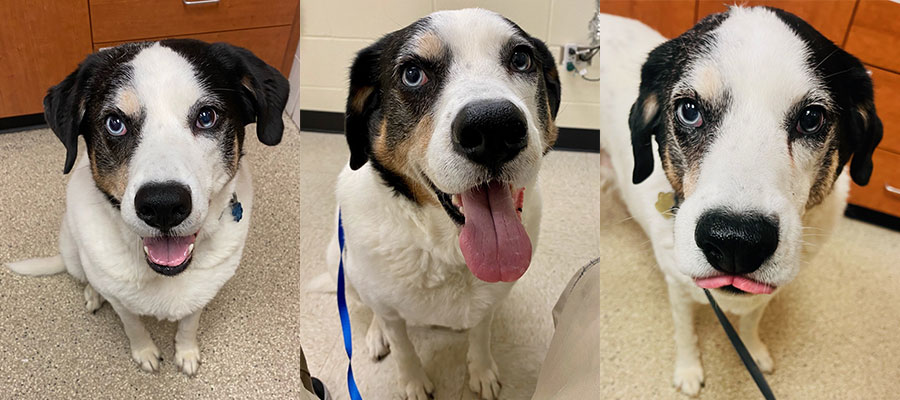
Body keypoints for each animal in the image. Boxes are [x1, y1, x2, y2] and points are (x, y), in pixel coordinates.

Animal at [6, 39, 288, 376]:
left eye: (207, 116)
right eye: (115, 124)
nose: (163, 205)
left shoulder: (203, 291)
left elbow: (189, 323)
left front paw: (186, 352)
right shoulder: (120, 301)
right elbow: (133, 326)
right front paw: (145, 353)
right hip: (73, 251)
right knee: (87, 276)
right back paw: (93, 293)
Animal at [326, 9, 560, 400]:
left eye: (521, 59)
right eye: (412, 74)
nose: (494, 128)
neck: (446, 248)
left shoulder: (491, 299)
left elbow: (481, 333)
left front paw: (481, 370)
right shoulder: (386, 306)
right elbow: (402, 345)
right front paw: (413, 383)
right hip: (340, 263)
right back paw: (375, 336)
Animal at [596, 7, 880, 396]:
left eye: (811, 118)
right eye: (689, 110)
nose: (736, 242)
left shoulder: (767, 292)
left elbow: (751, 322)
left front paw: (754, 351)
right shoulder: (677, 283)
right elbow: (684, 331)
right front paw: (688, 370)